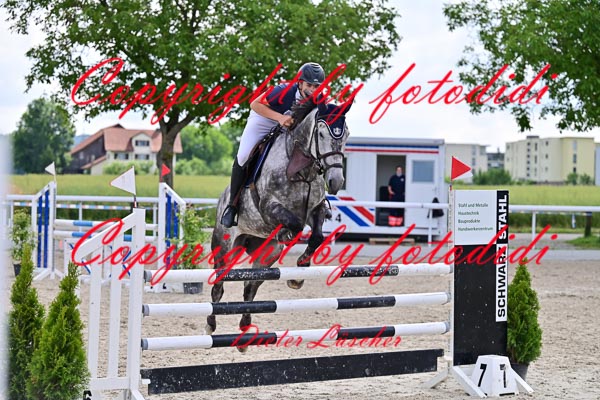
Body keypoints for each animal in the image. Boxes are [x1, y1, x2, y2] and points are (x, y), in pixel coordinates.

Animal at [207, 98, 352, 340]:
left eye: (347, 135)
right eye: (321, 134)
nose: (336, 181)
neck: (303, 171)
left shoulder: (316, 210)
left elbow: (317, 236)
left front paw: (299, 273)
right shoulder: (269, 207)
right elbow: (295, 224)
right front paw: (286, 234)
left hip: (268, 253)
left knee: (250, 286)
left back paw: (245, 330)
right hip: (224, 247)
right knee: (219, 286)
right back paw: (210, 324)